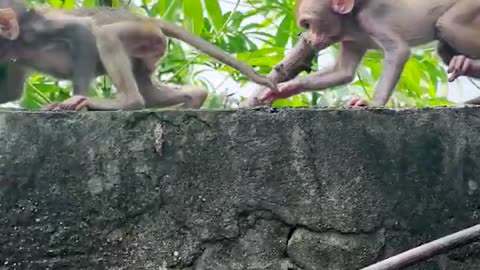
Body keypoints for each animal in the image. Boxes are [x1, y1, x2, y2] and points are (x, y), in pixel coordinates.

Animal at [0, 2, 276, 110]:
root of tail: (147, 20)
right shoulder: (12, 55)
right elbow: (12, 92)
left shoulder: (38, 30)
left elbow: (83, 32)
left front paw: (75, 100)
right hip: (149, 54)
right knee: (151, 92)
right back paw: (195, 97)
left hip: (145, 36)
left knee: (106, 35)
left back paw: (128, 102)